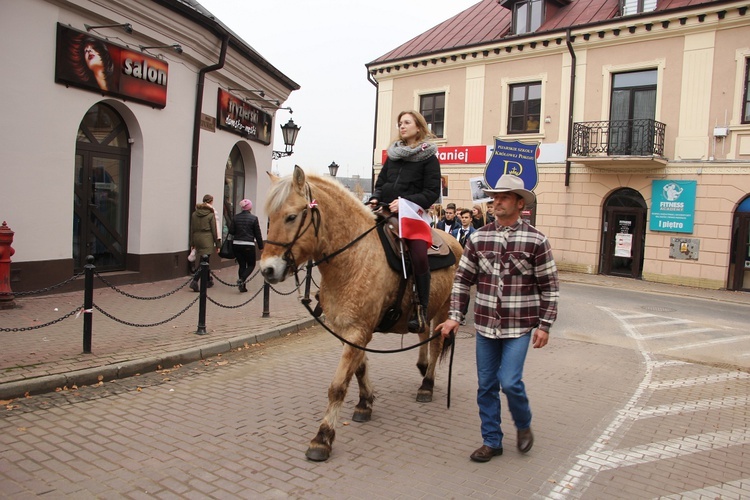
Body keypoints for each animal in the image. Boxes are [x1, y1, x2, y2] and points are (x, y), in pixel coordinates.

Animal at [262, 167, 468, 460]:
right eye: (270, 216)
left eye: (291, 216)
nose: (267, 270)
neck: (354, 257)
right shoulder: (347, 330)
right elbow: (358, 368)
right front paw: (365, 402)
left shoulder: (358, 330)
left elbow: (337, 386)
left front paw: (322, 437)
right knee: (423, 333)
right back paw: (422, 366)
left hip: (443, 310)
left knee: (437, 342)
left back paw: (427, 384)